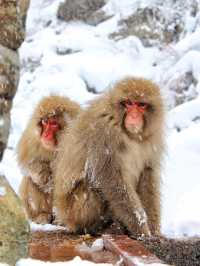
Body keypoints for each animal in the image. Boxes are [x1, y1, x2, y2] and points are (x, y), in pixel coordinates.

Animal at [17, 94, 81, 223]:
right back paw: (42, 214)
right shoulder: (32, 138)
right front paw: (42, 173)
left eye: (54, 124)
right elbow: (29, 162)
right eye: (45, 122)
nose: (45, 134)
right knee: (29, 179)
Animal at [54, 78, 165, 236]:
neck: (130, 135)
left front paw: (154, 230)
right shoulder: (104, 132)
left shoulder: (153, 136)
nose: (134, 116)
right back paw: (95, 228)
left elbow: (148, 176)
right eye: (129, 103)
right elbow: (110, 179)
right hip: (74, 211)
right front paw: (141, 230)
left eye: (141, 105)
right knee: (93, 184)